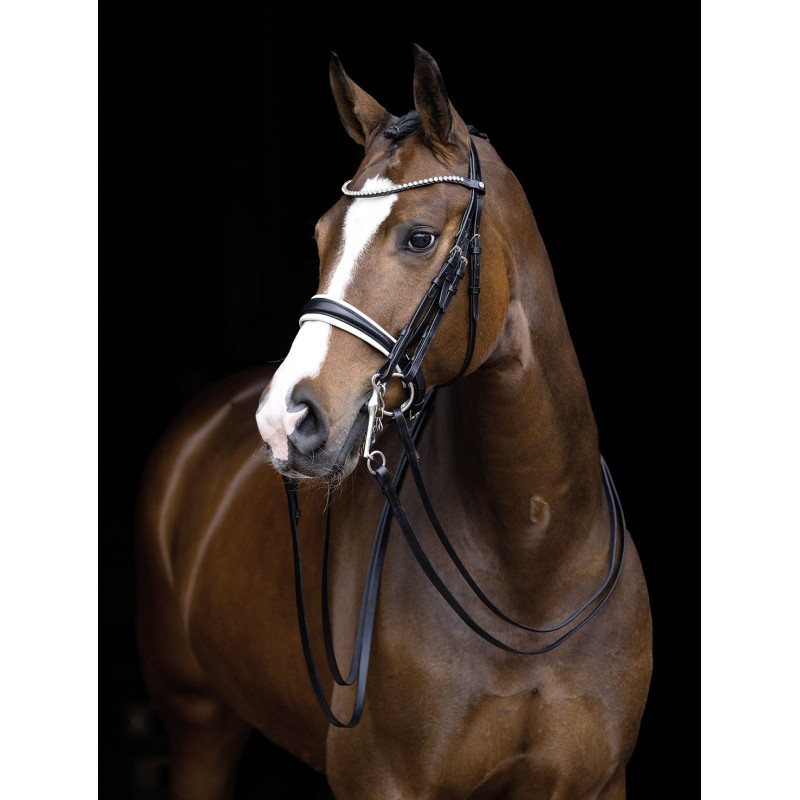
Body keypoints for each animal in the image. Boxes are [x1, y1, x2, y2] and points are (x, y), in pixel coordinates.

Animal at [135, 44, 653, 800]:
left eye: (419, 237)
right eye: (322, 234)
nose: (285, 419)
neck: (535, 561)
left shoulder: (600, 783)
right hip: (199, 725)